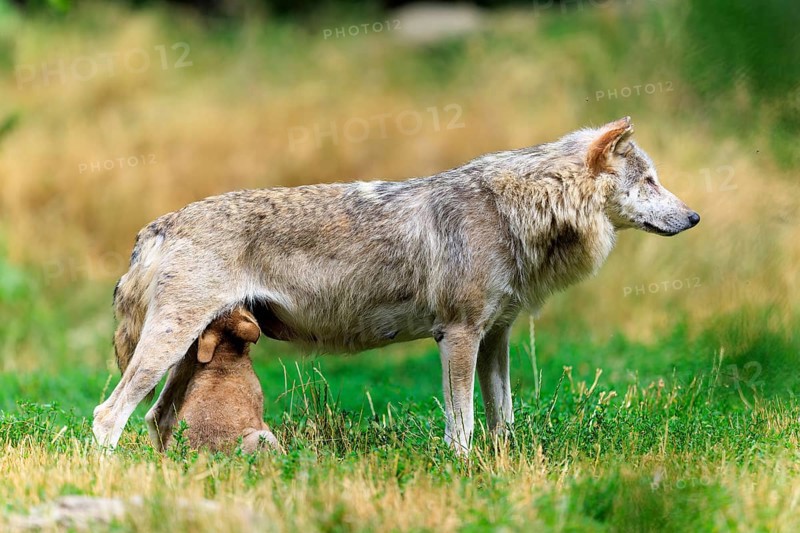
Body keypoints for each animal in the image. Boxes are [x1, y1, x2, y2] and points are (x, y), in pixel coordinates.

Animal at [93, 117, 699, 453]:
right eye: (650, 181)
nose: (694, 217)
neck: (513, 213)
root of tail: (160, 225)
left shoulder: (495, 337)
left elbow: (502, 419)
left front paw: (504, 469)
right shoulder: (457, 336)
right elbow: (463, 425)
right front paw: (463, 472)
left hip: (187, 357)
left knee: (156, 419)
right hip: (167, 346)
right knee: (108, 416)